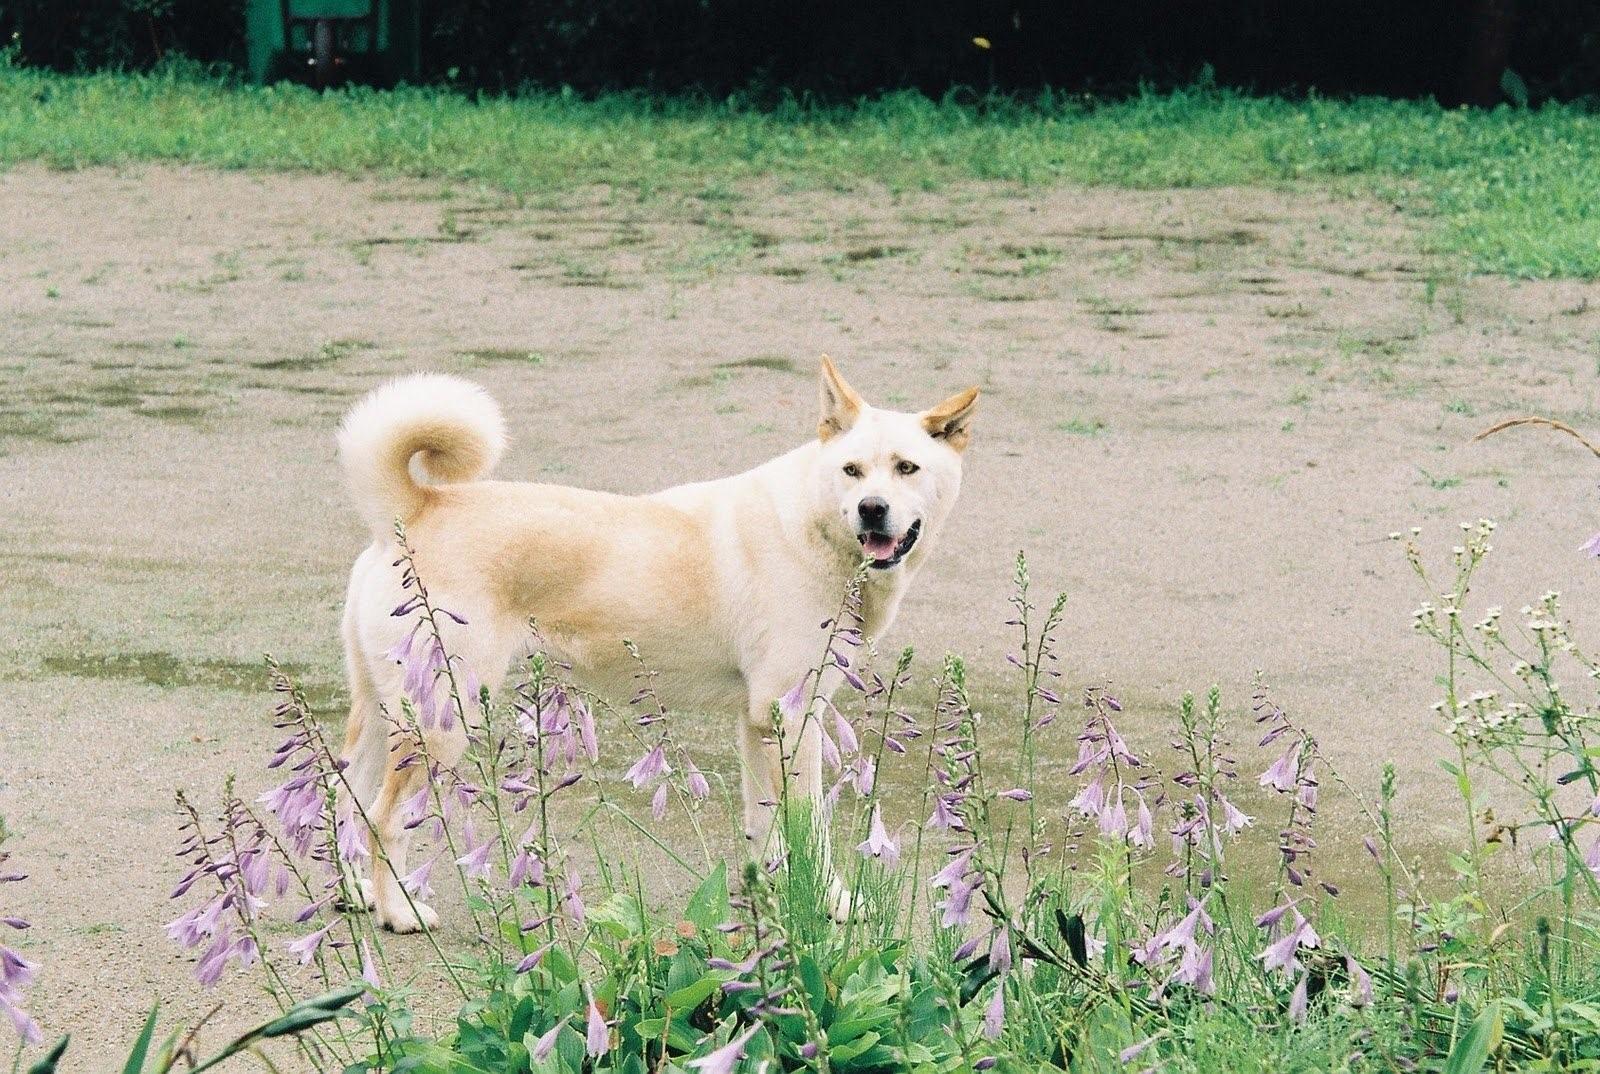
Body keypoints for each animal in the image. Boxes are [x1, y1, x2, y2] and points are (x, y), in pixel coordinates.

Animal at [334, 356, 972, 928]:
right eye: (852, 470)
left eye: (907, 468)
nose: (872, 509)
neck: (817, 528)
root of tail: (414, 510)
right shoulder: (792, 720)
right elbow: (809, 830)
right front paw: (834, 906)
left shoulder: (758, 725)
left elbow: (767, 828)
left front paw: (773, 900)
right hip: (442, 722)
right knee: (382, 820)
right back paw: (400, 912)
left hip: (383, 717)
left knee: (342, 801)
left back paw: (354, 894)